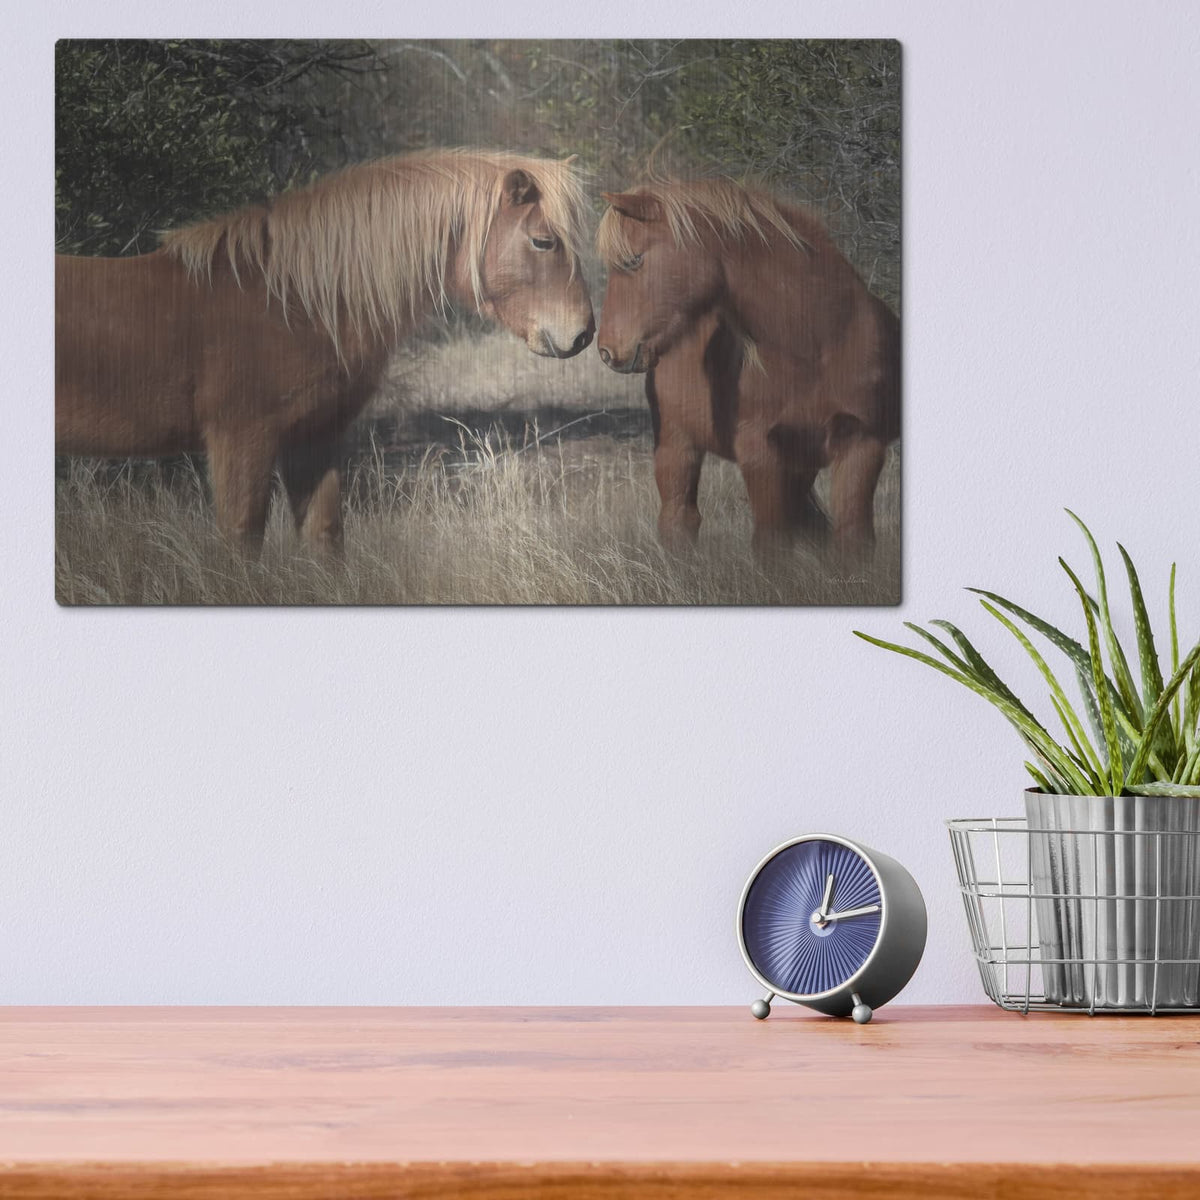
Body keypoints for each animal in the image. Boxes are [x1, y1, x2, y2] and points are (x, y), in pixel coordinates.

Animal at [56, 149, 595, 555]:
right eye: (543, 241)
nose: (584, 334)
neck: (290, 304)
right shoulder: (241, 440)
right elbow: (241, 541)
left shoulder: (313, 439)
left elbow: (325, 538)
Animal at [594, 178, 899, 555]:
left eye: (634, 260)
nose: (608, 351)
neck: (821, 342)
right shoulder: (759, 451)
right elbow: (771, 543)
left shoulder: (861, 444)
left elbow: (853, 539)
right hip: (676, 445)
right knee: (679, 520)